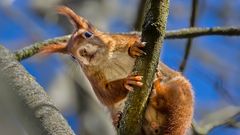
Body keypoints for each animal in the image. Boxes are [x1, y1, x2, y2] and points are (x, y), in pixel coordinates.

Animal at [41, 5, 194, 134]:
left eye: (88, 34)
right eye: (72, 57)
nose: (81, 52)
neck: (107, 60)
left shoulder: (124, 39)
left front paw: (133, 48)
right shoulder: (94, 80)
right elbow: (106, 96)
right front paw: (127, 82)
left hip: (179, 92)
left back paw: (157, 92)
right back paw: (119, 118)